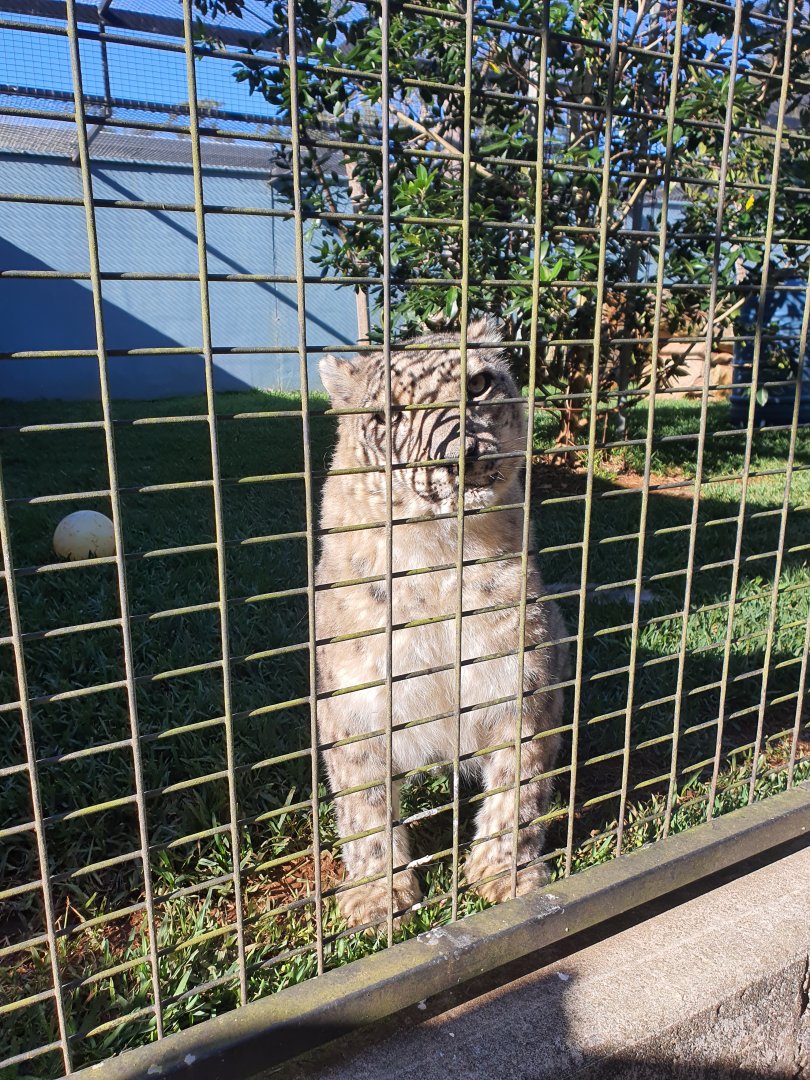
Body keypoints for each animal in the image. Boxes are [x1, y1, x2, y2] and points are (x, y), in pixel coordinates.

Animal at [314, 316, 568, 930]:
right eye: (389, 415)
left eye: (478, 383)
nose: (462, 453)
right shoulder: (354, 709)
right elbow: (364, 810)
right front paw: (379, 898)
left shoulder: (524, 684)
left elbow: (518, 790)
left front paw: (505, 875)